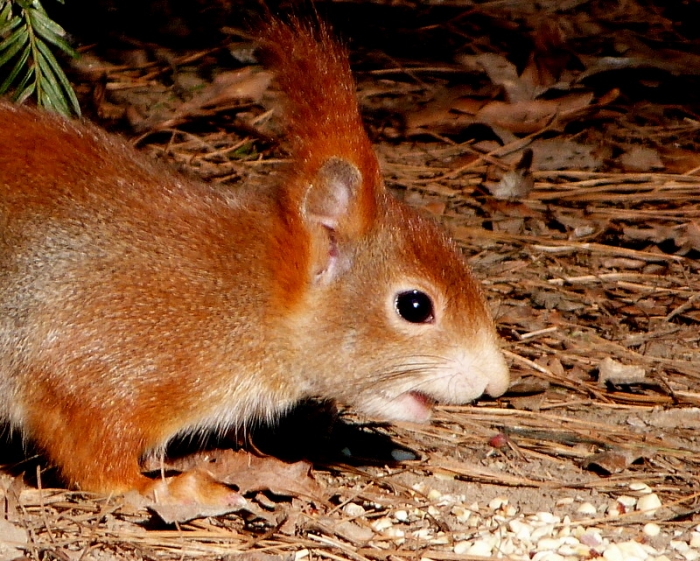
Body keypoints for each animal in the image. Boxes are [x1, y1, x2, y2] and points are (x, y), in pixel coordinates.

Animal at [0, 18, 509, 503]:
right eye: (415, 306)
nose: (498, 382)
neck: (243, 298)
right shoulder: (101, 362)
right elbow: (91, 455)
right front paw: (165, 487)